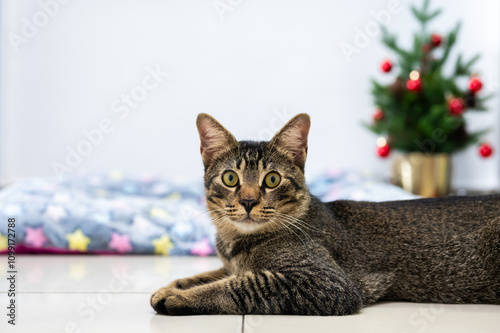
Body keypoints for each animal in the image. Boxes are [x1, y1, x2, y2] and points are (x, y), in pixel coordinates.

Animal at [151, 113, 500, 316]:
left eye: (272, 180)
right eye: (230, 178)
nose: (248, 201)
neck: (236, 243)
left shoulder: (326, 282)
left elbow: (238, 285)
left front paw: (179, 299)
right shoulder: (231, 264)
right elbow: (207, 275)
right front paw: (173, 286)